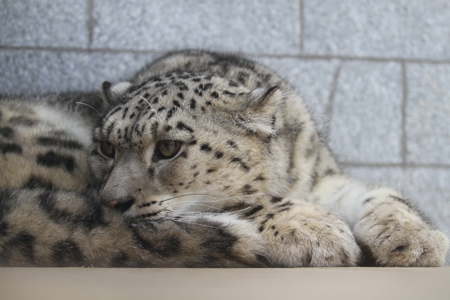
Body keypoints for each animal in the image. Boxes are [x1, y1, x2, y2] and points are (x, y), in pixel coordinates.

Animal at [0, 49, 448, 268]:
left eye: (168, 147)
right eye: (106, 148)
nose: (112, 201)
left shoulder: (323, 179)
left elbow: (381, 195)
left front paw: (417, 241)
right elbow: (243, 201)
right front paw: (318, 231)